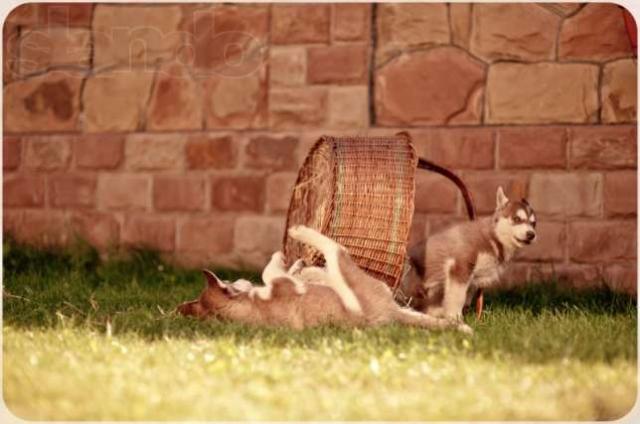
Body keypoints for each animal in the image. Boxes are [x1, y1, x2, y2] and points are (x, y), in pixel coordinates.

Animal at [177, 225, 472, 333]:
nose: (239, 279)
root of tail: (389, 314)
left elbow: (275, 273)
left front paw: (295, 265)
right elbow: (270, 273)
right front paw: (286, 261)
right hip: (356, 276)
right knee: (335, 249)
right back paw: (300, 232)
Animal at [402, 186, 537, 319]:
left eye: (533, 223)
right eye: (516, 219)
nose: (531, 235)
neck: (494, 238)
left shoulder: (474, 280)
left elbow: (465, 298)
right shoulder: (460, 266)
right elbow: (457, 298)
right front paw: (455, 318)